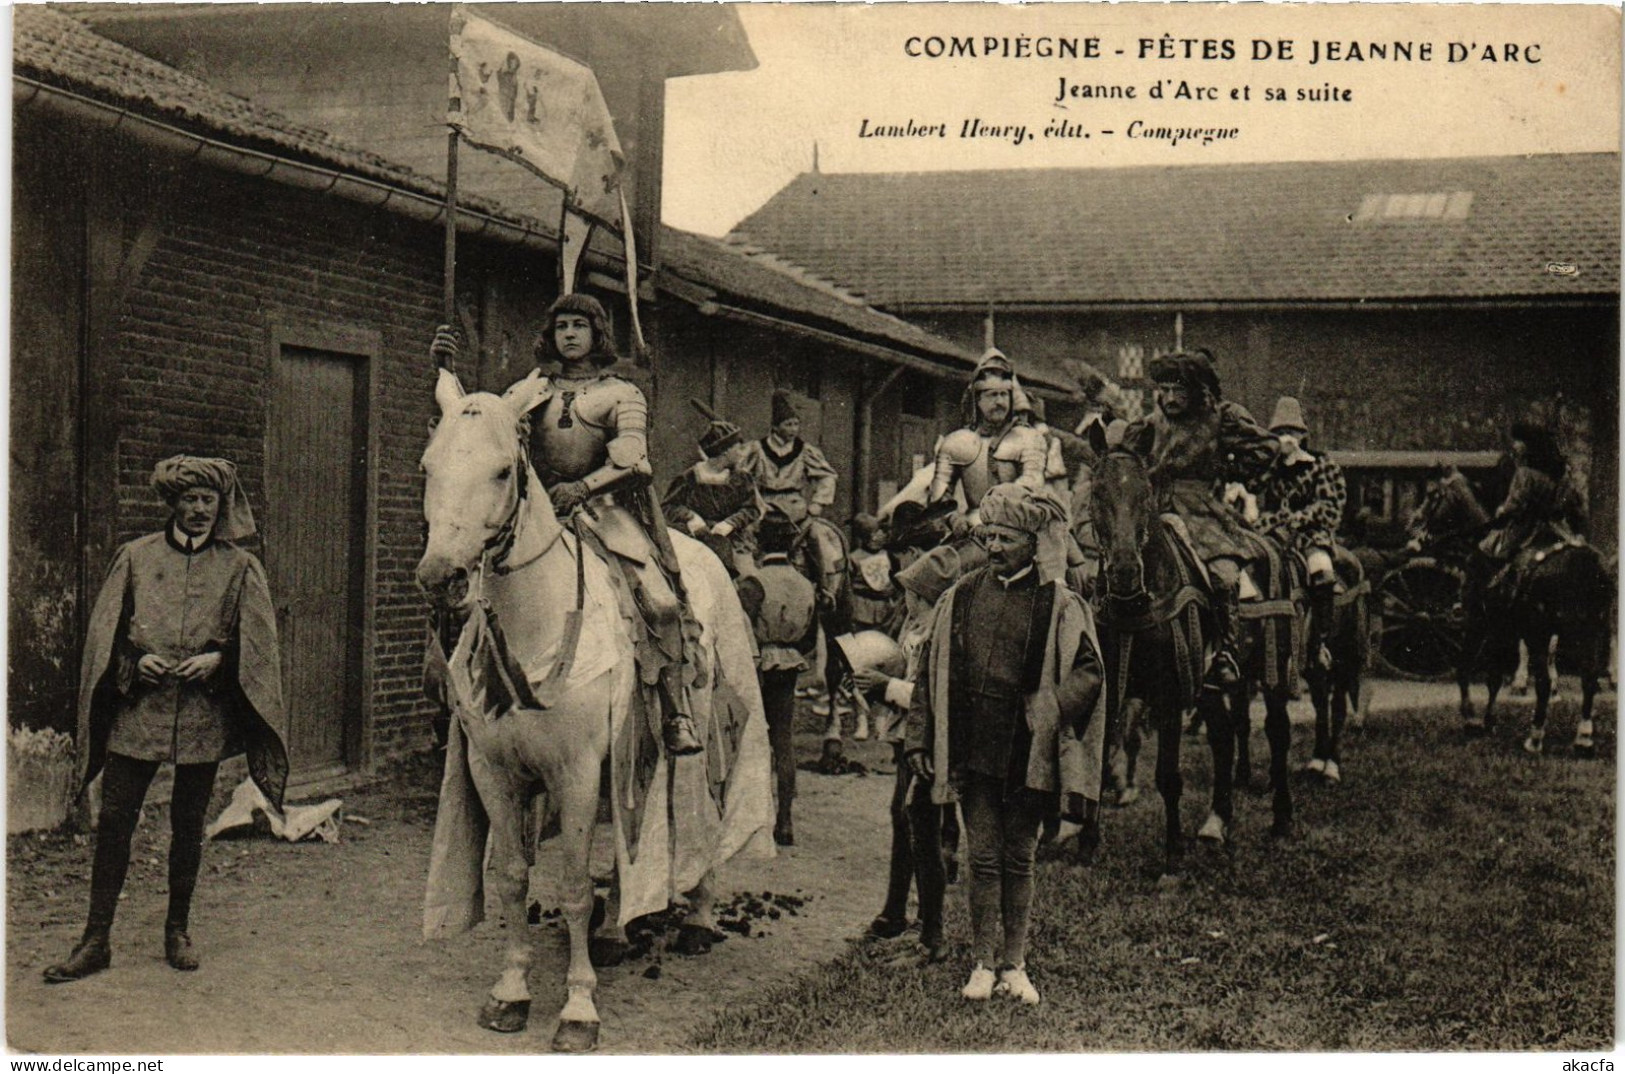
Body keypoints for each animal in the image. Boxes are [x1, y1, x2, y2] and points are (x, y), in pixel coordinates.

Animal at [416, 367, 776, 1046]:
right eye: (429, 466)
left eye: (501, 471)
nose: (441, 577)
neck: (537, 620)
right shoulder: (494, 772)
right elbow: (512, 878)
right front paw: (511, 992)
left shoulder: (576, 773)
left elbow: (576, 887)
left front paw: (578, 1009)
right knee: (626, 842)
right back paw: (614, 934)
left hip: (695, 739)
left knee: (701, 824)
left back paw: (698, 916)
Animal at [1085, 438, 1235, 877]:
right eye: (1096, 493)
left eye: (1146, 494)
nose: (1123, 573)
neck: (1135, 606)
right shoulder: (1109, 691)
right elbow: (1097, 764)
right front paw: (1084, 845)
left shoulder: (1169, 693)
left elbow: (1168, 776)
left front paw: (1172, 854)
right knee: (1223, 734)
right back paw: (1216, 822)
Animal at [1410, 467, 1612, 753]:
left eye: (1431, 494)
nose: (1414, 522)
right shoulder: (1504, 630)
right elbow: (1494, 677)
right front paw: (1488, 720)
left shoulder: (1479, 623)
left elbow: (1466, 667)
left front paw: (1472, 718)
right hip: (1594, 630)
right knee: (1589, 677)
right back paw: (1583, 737)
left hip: (1542, 634)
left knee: (1545, 681)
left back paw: (1535, 737)